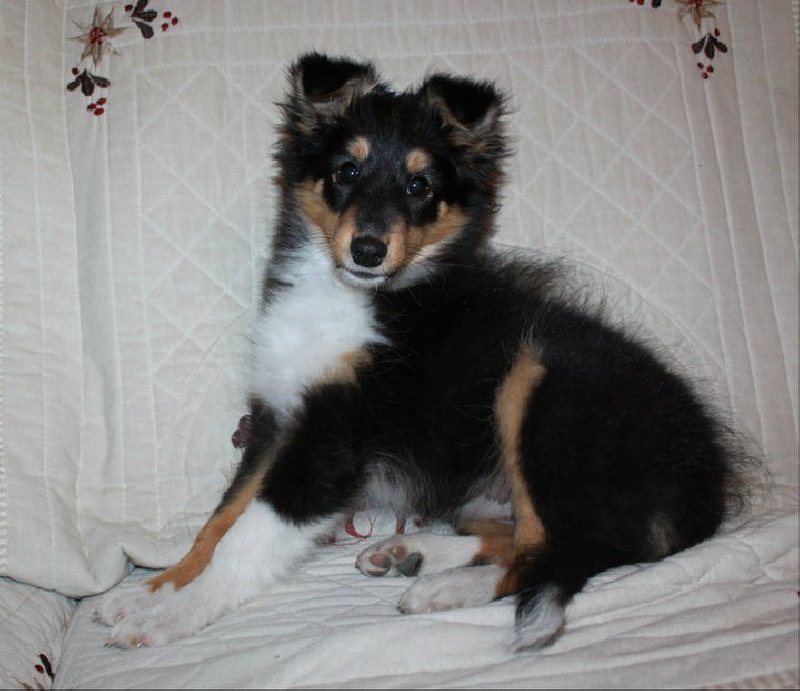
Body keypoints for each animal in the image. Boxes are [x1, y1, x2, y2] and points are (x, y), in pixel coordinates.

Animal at [95, 52, 747, 651]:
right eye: (346, 170)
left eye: (419, 186)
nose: (367, 249)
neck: (350, 296)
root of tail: (707, 488)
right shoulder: (277, 417)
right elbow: (220, 518)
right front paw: (151, 591)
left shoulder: (333, 440)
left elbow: (247, 536)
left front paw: (170, 617)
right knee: (528, 539)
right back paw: (415, 554)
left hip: (538, 383)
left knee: (559, 553)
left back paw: (447, 588)